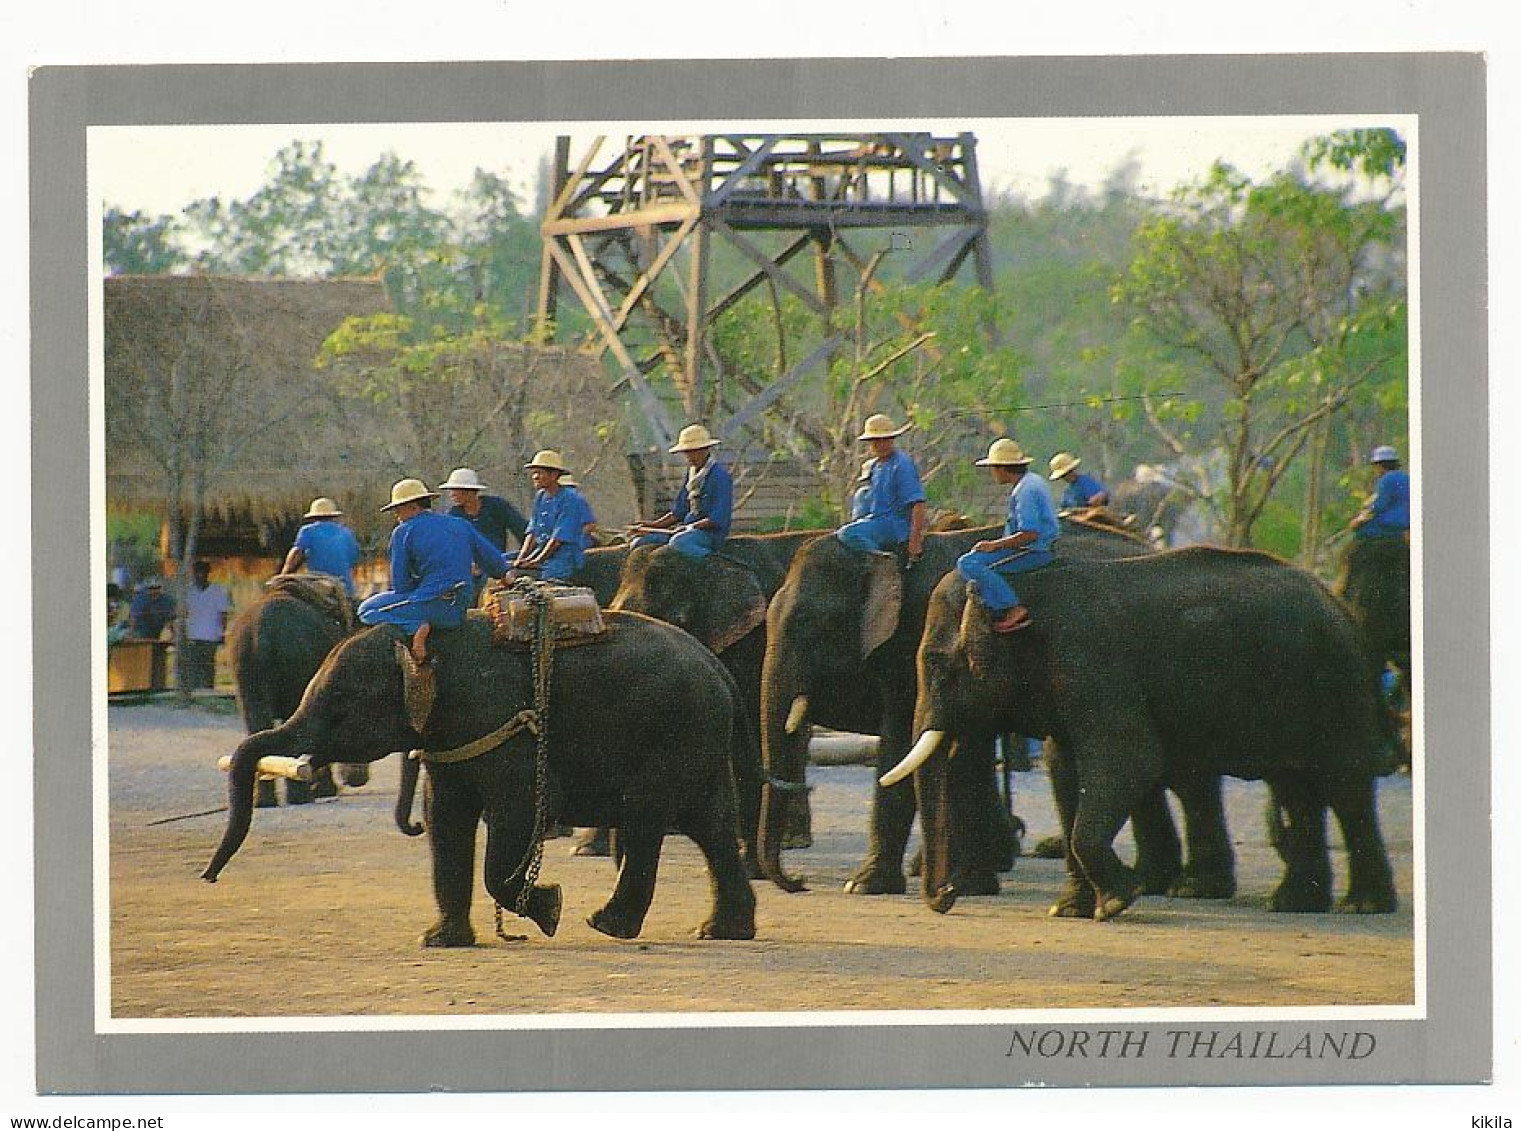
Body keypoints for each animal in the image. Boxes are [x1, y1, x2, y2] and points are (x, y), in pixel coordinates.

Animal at [205, 611, 760, 942]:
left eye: (340, 705)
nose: (208, 877)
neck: (424, 643)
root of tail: (718, 667)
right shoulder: (453, 736)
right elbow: (446, 817)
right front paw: (440, 942)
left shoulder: (501, 723)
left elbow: (516, 812)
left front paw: (550, 910)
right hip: (697, 737)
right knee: (710, 823)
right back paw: (721, 931)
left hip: (674, 730)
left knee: (648, 815)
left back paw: (606, 925)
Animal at [229, 577, 375, 808]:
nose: (357, 780)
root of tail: (262, 633)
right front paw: (325, 790)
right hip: (295, 673)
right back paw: (301, 797)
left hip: (246, 678)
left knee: (256, 725)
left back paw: (264, 801)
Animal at [754, 513, 1192, 899]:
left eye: (809, 624)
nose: (799, 882)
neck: (885, 555)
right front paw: (967, 883)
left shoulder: (915, 645)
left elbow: (903, 748)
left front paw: (866, 886)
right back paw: (1153, 881)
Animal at [888, 544, 1399, 924]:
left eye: (940, 666)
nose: (946, 895)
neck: (1018, 584)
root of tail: (1339, 605)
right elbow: (1066, 769)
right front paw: (1069, 911)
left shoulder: (1095, 664)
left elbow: (1130, 760)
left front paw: (1116, 903)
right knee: (1296, 789)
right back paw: (1293, 903)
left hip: (1337, 686)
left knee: (1345, 788)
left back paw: (1362, 907)